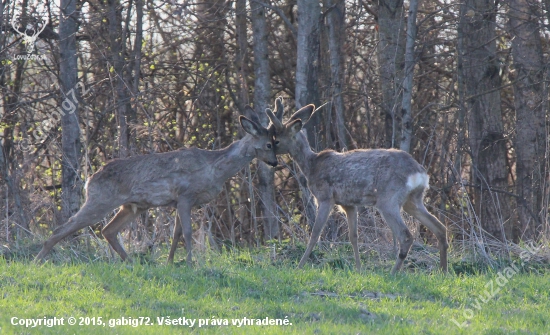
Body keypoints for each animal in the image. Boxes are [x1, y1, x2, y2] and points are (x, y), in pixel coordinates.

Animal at [35, 107, 278, 266]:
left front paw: (171, 263)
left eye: (275, 143)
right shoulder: (185, 195)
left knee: (108, 230)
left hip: (131, 207)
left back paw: (132, 262)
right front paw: (191, 264)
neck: (214, 167)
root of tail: (89, 180)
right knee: (62, 228)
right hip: (100, 201)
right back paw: (37, 260)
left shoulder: (180, 202)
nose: (275, 162)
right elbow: (187, 232)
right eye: (269, 144)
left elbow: (176, 233)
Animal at [270, 98, 450, 274]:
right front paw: (358, 269)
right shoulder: (348, 204)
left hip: (388, 199)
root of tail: (419, 173)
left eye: (276, 140)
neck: (311, 166)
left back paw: (393, 273)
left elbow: (315, 233)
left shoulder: (325, 197)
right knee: (440, 228)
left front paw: (299, 266)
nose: (270, 153)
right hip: (412, 200)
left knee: (406, 236)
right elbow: (353, 236)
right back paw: (443, 270)